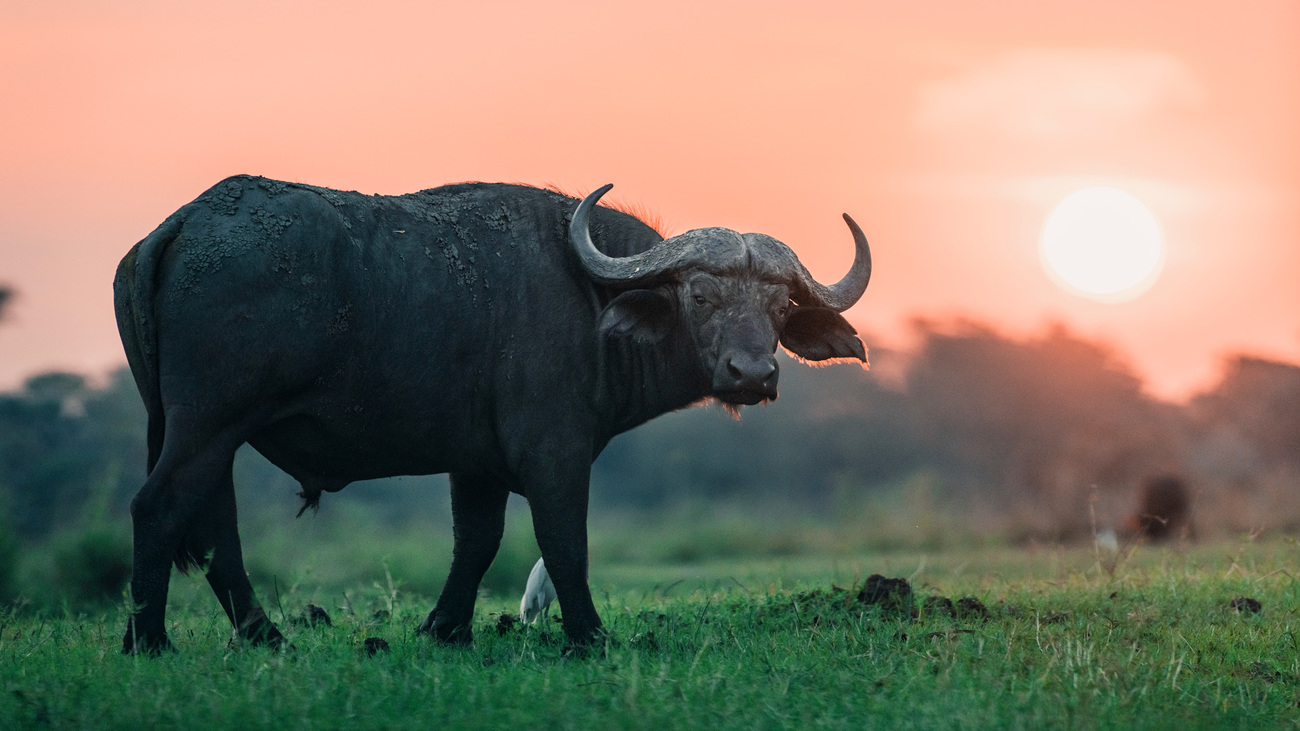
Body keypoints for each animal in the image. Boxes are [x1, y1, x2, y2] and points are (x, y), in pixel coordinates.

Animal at [114, 175, 873, 647]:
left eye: (779, 306)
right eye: (701, 295)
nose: (754, 373)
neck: (590, 300)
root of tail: (184, 223)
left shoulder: (474, 464)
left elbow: (475, 542)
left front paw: (444, 629)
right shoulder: (555, 452)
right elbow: (564, 543)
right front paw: (588, 636)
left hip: (208, 433)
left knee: (214, 526)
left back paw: (263, 636)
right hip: (208, 424)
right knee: (159, 507)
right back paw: (149, 641)